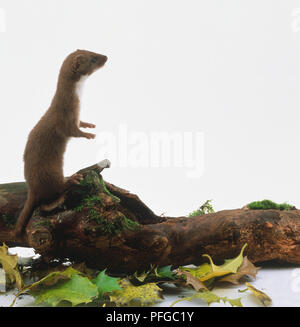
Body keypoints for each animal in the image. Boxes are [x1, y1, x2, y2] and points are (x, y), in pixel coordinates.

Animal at [14, 48, 108, 237]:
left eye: (93, 50)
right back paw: (71, 178)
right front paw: (89, 135)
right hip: (51, 170)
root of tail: (31, 187)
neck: (79, 97)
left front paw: (90, 125)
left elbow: (81, 123)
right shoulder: (66, 115)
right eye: (93, 59)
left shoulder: (77, 116)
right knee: (56, 189)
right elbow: (73, 131)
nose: (106, 57)